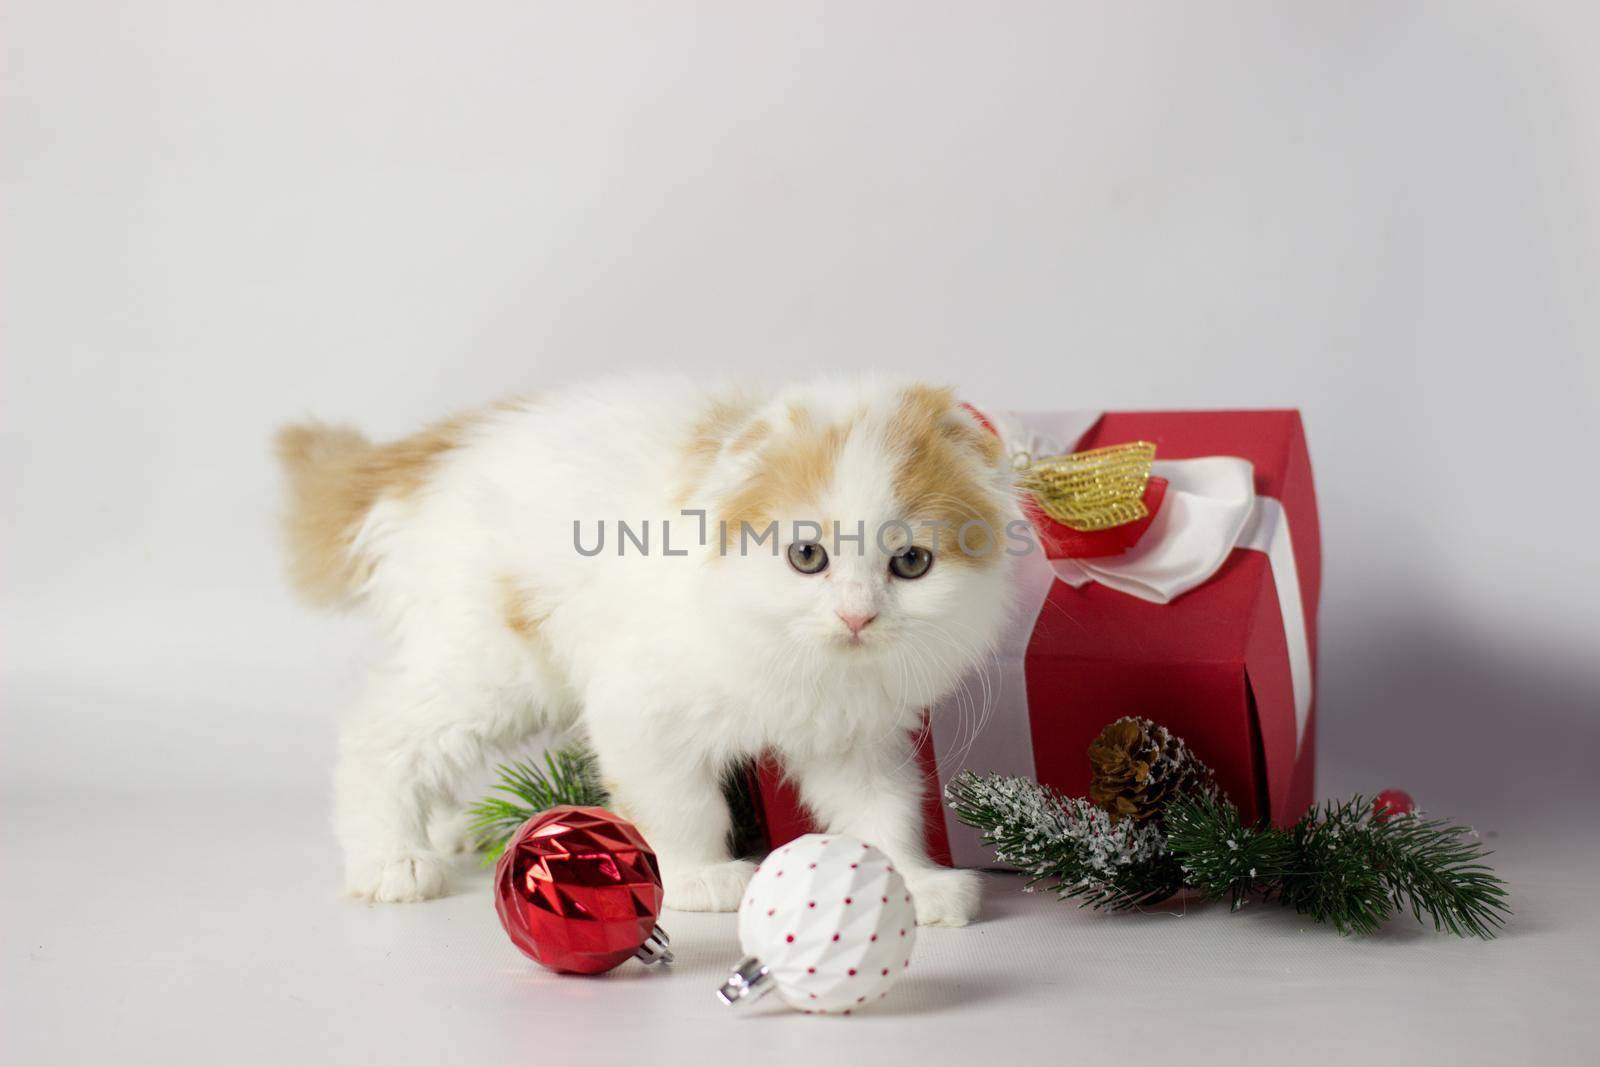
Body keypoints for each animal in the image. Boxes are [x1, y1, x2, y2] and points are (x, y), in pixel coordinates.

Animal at [275, 375, 1017, 927]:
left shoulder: (855, 735)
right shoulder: (642, 706)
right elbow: (682, 803)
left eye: (911, 563)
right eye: (807, 556)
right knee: (380, 732)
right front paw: (699, 875)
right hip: (494, 663)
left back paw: (444, 830)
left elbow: (882, 810)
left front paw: (914, 882)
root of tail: (429, 453)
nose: (857, 615)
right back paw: (391, 858)